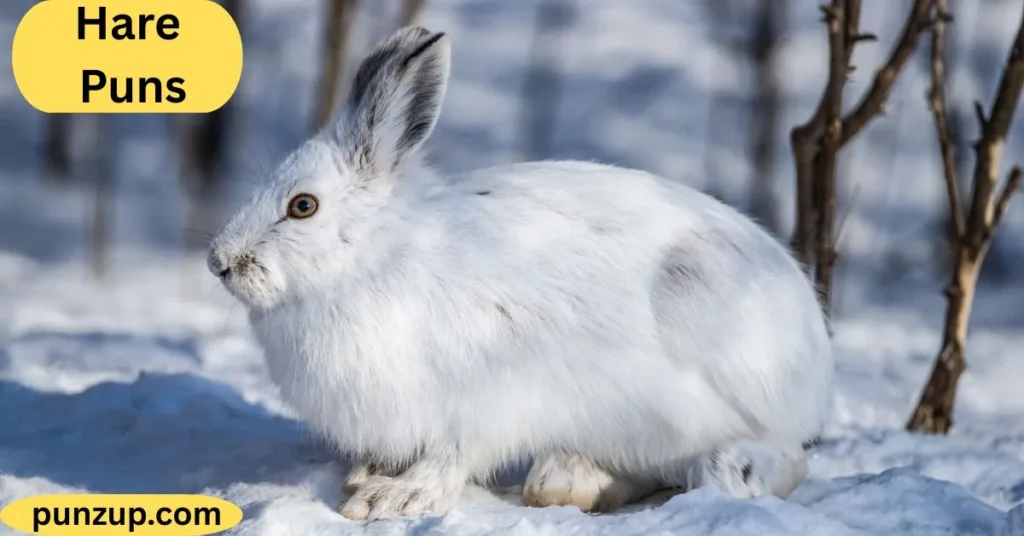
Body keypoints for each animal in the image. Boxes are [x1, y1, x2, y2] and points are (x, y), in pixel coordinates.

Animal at [207, 26, 834, 521]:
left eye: (302, 206)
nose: (219, 262)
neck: (372, 259)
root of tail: (813, 356)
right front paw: (368, 476)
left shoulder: (487, 398)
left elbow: (452, 457)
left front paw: (393, 499)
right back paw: (573, 478)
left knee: (775, 460)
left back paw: (726, 468)